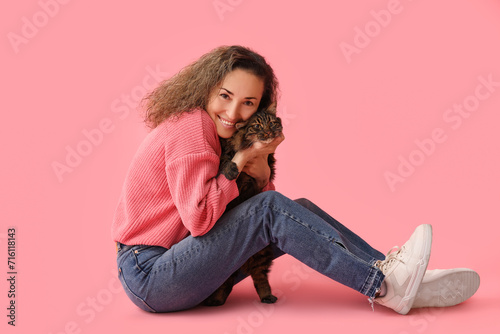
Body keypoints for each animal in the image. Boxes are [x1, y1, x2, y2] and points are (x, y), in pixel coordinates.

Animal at [202, 109, 282, 306]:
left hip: (261, 255)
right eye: (257, 126)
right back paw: (216, 301)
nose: (268, 132)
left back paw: (267, 296)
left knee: (260, 279)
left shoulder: (268, 164)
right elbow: (226, 161)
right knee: (225, 283)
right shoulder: (224, 155)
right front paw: (232, 170)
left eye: (272, 123)